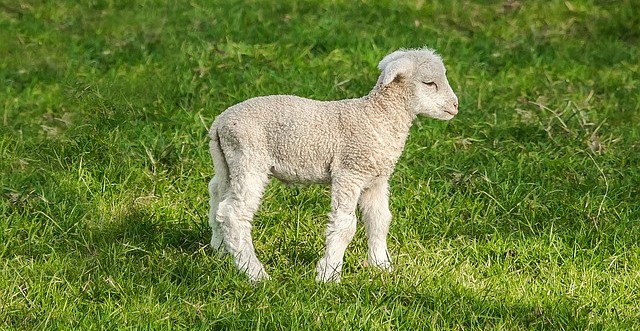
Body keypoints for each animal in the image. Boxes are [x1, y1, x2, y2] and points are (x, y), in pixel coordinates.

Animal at [208, 47, 458, 282]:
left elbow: (380, 220)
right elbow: (345, 226)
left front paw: (381, 266)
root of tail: (219, 124)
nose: (456, 105)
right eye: (429, 83)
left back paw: (220, 249)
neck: (378, 116)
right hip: (250, 158)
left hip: (228, 162)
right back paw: (254, 273)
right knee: (234, 214)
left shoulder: (375, 180)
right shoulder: (349, 172)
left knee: (217, 196)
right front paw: (328, 275)